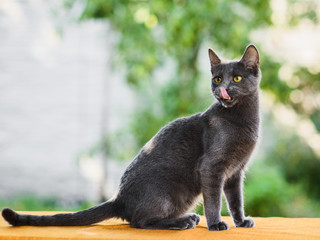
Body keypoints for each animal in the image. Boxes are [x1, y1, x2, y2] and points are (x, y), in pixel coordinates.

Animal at [1, 44, 260, 231]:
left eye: (236, 78)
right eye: (217, 79)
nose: (222, 88)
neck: (243, 120)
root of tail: (119, 198)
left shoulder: (235, 172)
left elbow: (236, 200)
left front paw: (241, 222)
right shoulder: (211, 168)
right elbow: (214, 200)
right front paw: (216, 224)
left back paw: (189, 218)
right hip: (166, 192)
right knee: (139, 221)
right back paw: (182, 222)